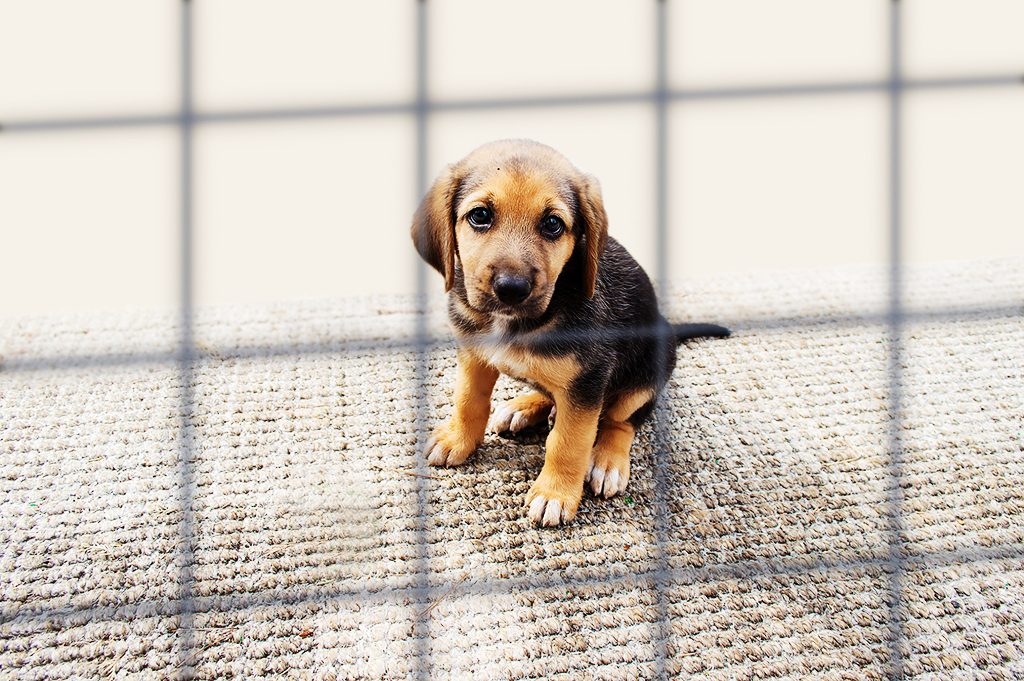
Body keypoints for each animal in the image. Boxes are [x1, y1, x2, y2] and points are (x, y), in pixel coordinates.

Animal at [409, 140, 729, 528]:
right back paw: (523, 407)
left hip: (647, 371)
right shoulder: (473, 355)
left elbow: (568, 441)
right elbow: (468, 400)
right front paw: (458, 439)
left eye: (552, 224)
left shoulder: (589, 381)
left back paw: (607, 461)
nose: (511, 289)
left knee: (622, 420)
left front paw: (554, 493)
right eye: (480, 216)